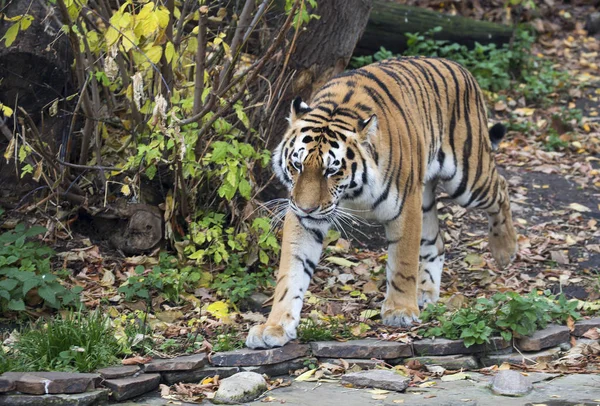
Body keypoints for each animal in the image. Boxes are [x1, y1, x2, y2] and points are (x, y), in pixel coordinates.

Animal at [246, 56, 516, 348]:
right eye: (297, 165)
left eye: (331, 170)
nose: (307, 208)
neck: (351, 193)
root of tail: (459, 67)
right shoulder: (303, 218)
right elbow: (291, 273)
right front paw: (274, 327)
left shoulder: (406, 208)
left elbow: (402, 263)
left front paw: (400, 310)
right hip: (426, 196)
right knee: (437, 242)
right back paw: (425, 292)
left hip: (467, 179)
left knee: (501, 188)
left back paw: (505, 251)